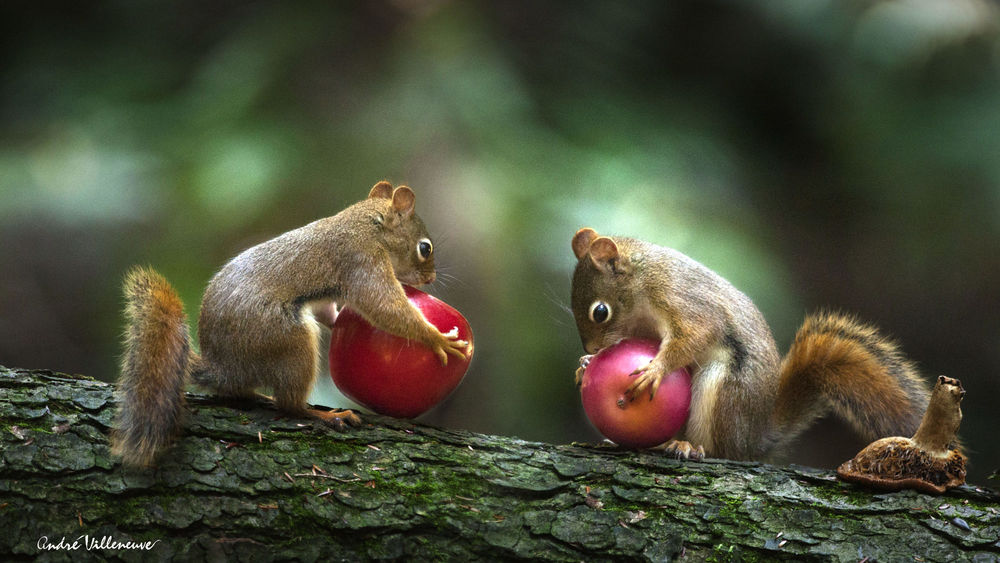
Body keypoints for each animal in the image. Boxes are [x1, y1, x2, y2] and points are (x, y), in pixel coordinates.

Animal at [111, 181, 470, 468]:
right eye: (425, 248)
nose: (431, 278)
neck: (365, 224)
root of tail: (223, 367)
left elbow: (331, 309)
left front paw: (340, 321)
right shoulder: (361, 261)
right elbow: (385, 307)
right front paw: (437, 339)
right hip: (288, 339)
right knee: (290, 404)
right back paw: (326, 415)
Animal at [572, 228, 928, 462]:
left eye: (600, 312)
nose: (592, 347)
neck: (642, 280)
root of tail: (754, 439)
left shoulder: (681, 300)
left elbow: (695, 335)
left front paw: (655, 369)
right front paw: (585, 365)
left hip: (723, 392)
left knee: (723, 452)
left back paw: (689, 447)